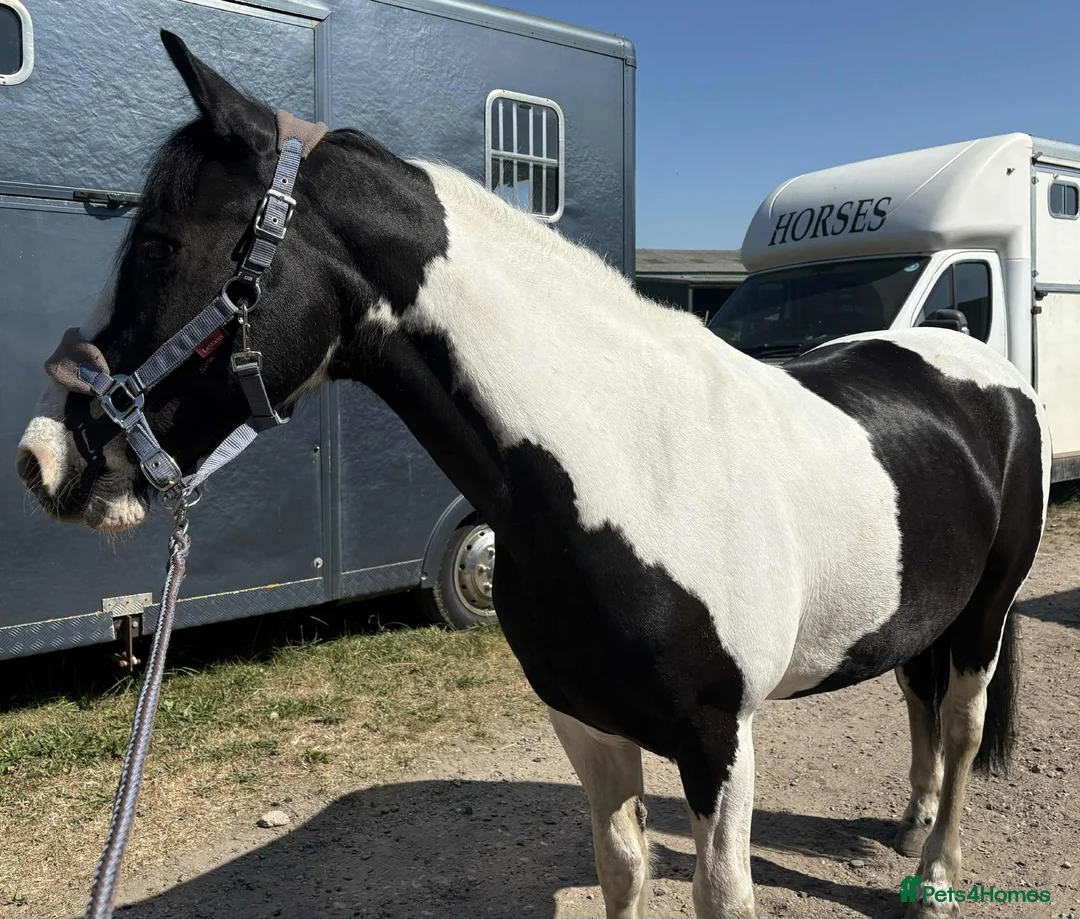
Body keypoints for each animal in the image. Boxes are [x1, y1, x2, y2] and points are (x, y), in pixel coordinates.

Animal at [16, 32, 1050, 919]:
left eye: (160, 244)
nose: (45, 457)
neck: (627, 469)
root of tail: (987, 371)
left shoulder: (721, 741)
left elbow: (721, 892)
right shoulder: (586, 721)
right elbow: (623, 865)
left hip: (987, 612)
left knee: (960, 726)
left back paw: (937, 875)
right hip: (919, 610)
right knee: (916, 695)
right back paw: (909, 823)